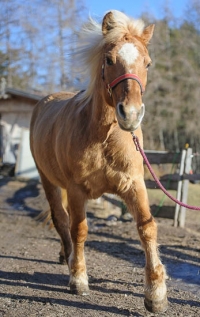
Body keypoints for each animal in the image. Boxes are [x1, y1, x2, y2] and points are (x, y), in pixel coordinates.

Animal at [29, 10, 167, 314]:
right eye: (109, 60)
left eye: (148, 63)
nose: (131, 114)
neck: (104, 136)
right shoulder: (77, 190)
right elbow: (79, 230)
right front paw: (78, 279)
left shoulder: (134, 185)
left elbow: (147, 228)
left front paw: (156, 293)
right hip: (49, 181)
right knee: (61, 220)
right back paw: (69, 260)